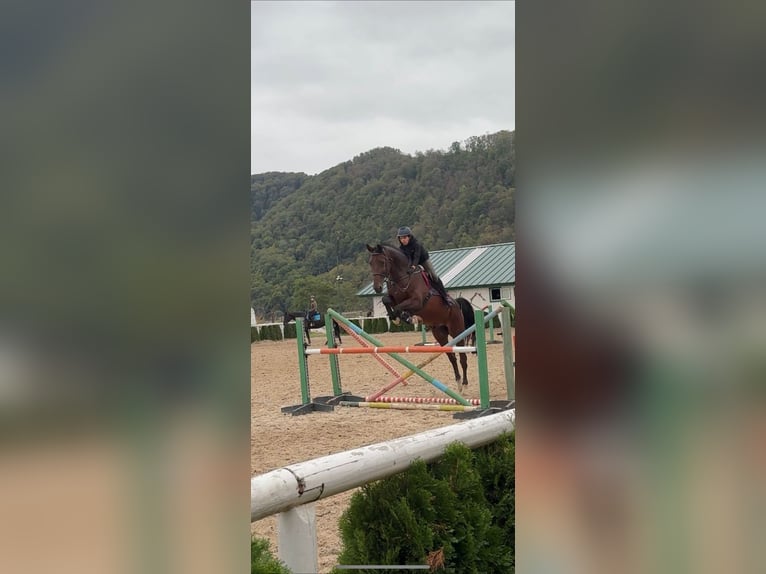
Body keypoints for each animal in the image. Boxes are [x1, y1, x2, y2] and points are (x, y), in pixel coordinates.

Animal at [366, 243, 474, 388]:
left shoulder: (417, 302)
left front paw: (405, 317)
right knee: (451, 357)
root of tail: (457, 303)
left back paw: (465, 383)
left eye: (382, 262)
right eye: (371, 263)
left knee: (462, 356)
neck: (403, 277)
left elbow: (400, 308)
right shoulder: (394, 299)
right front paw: (396, 318)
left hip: (457, 330)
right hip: (440, 333)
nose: (377, 287)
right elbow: (386, 300)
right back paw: (458, 381)